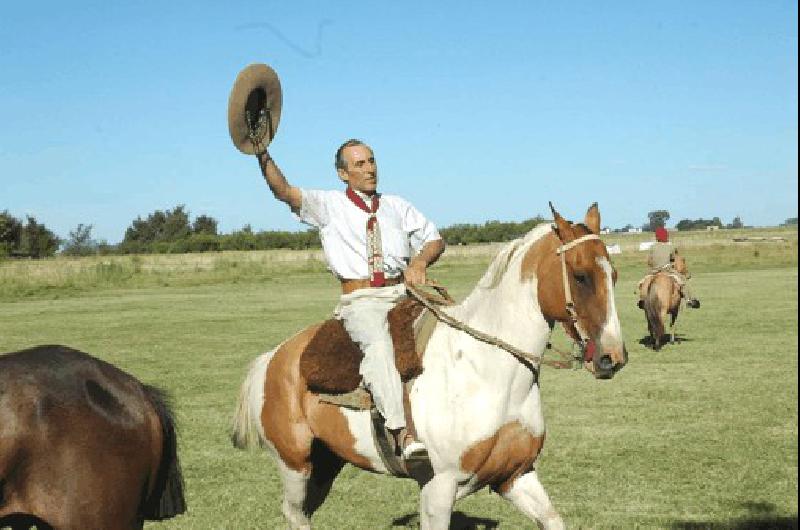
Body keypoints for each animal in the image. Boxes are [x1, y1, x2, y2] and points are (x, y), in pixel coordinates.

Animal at [231, 202, 624, 528]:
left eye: (615, 275)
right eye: (580, 275)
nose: (612, 357)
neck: (486, 372)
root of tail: (273, 359)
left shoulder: (515, 476)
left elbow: (552, 518)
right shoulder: (439, 488)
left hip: (327, 465)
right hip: (295, 465)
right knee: (294, 513)